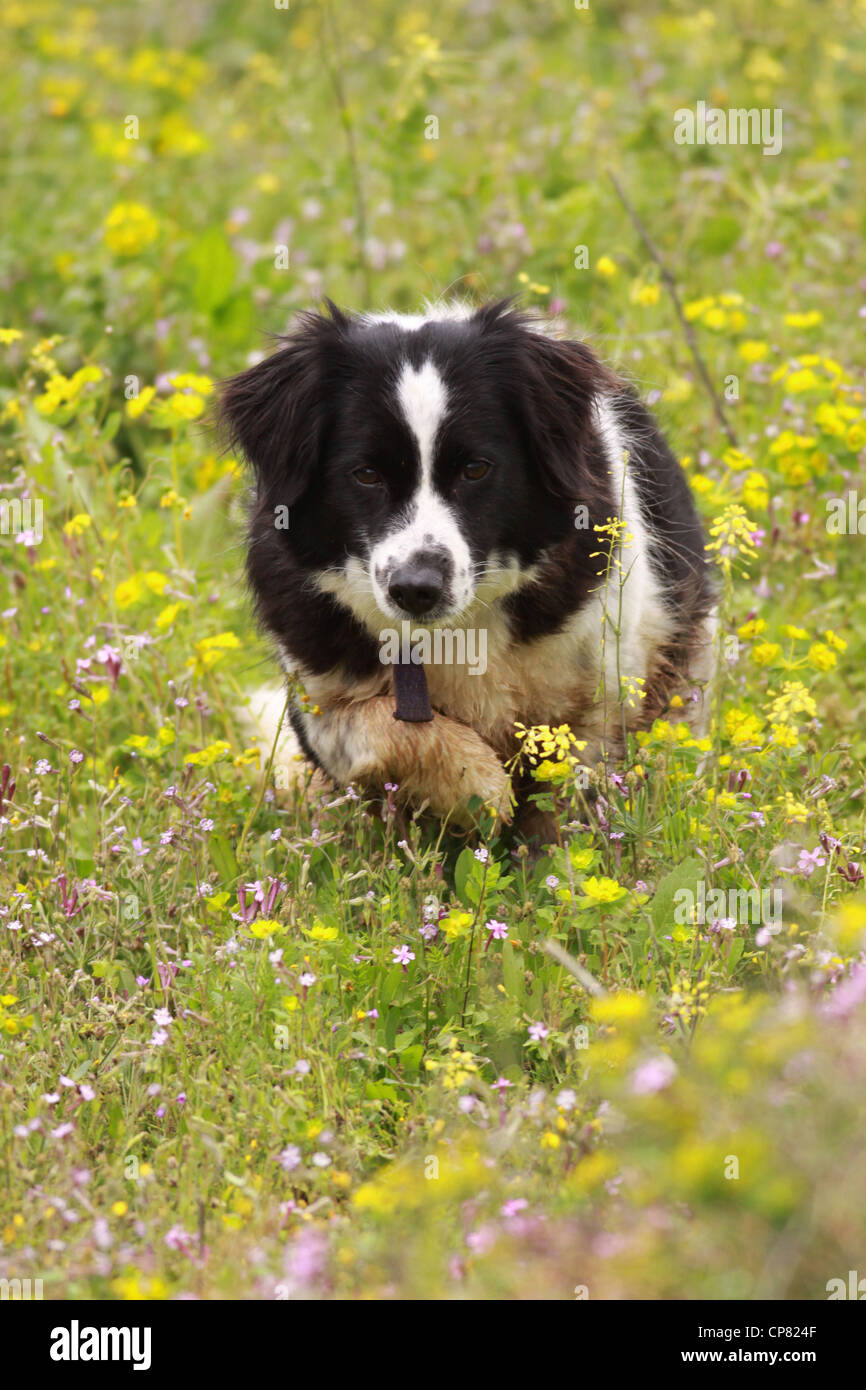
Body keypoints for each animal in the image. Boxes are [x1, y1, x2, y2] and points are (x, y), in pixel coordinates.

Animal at [223, 298, 717, 828]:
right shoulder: (317, 682)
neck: (457, 628)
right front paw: (480, 784)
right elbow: (381, 726)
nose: (416, 589)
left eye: (476, 469)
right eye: (366, 474)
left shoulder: (599, 680)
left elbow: (572, 785)